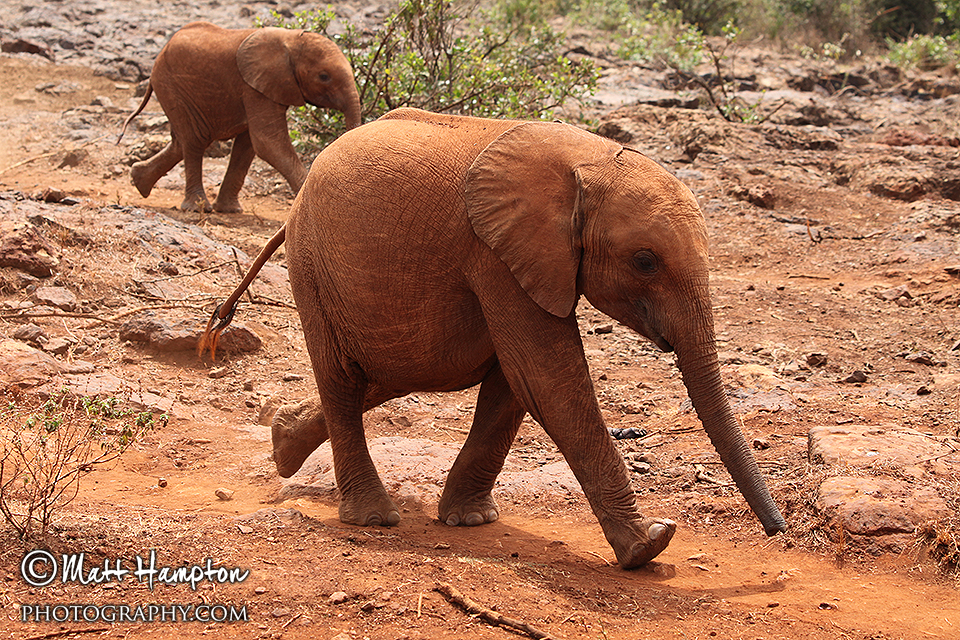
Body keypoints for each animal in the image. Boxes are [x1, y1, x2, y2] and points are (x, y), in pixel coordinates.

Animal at [118, 21, 361, 213]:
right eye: (324, 76)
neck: (290, 40)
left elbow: (248, 145)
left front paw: (230, 210)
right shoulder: (254, 86)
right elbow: (267, 142)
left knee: (183, 141)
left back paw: (139, 181)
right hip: (170, 86)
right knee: (195, 139)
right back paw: (197, 207)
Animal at [200, 108, 786, 568]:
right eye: (644, 261)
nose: (777, 531)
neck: (586, 159)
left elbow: (514, 381)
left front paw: (470, 522)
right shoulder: (495, 254)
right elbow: (545, 377)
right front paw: (648, 547)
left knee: (388, 371)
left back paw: (283, 443)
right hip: (312, 265)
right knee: (345, 377)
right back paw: (372, 518)